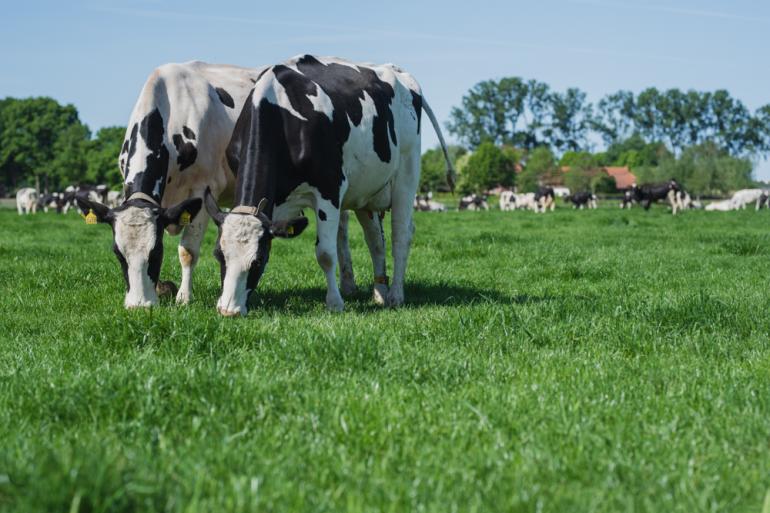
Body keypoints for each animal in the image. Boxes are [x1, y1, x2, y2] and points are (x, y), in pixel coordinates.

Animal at [75, 60, 266, 308]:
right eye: (118, 253)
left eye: (156, 252)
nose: (138, 305)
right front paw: (158, 289)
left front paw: (183, 297)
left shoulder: (203, 189)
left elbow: (188, 251)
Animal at [202, 54, 456, 314]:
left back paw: (396, 294)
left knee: (401, 235)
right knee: (375, 240)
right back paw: (379, 293)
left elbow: (325, 253)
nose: (228, 309)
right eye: (218, 254)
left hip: (406, 173)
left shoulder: (329, 190)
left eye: (258, 259)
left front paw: (334, 303)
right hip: (367, 191)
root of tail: (399, 72)